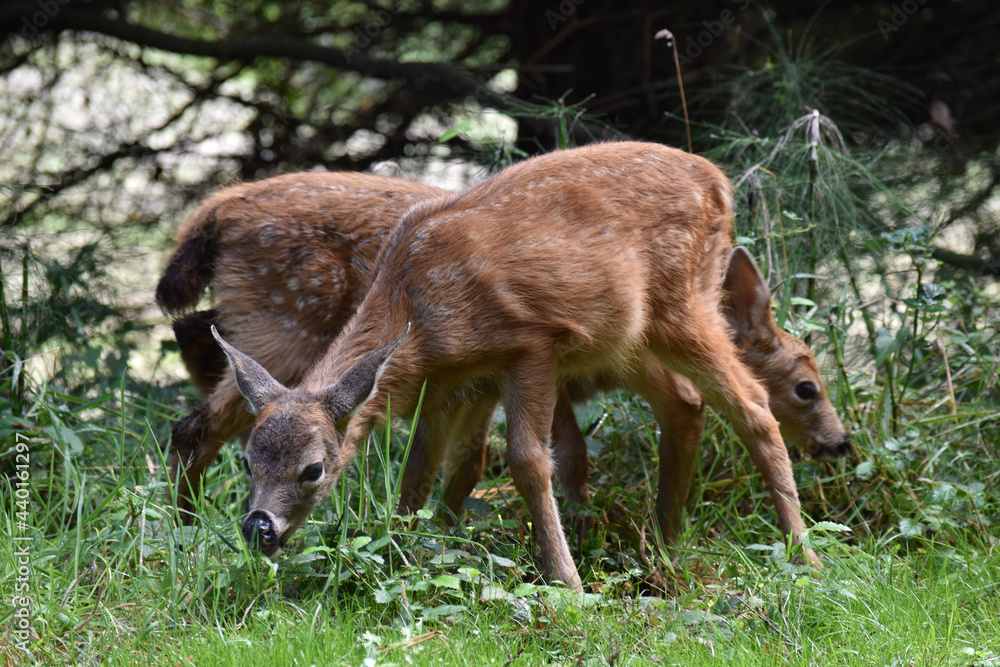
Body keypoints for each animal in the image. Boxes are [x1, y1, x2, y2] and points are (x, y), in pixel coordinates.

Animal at [208, 142, 851, 591]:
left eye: (313, 469)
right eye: (247, 460)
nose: (258, 529)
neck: (415, 310)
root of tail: (719, 182)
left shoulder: (534, 345)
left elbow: (528, 459)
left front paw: (566, 581)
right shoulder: (449, 382)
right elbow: (420, 470)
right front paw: (404, 552)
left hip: (683, 305)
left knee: (751, 406)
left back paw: (805, 555)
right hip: (633, 336)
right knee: (690, 403)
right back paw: (667, 545)